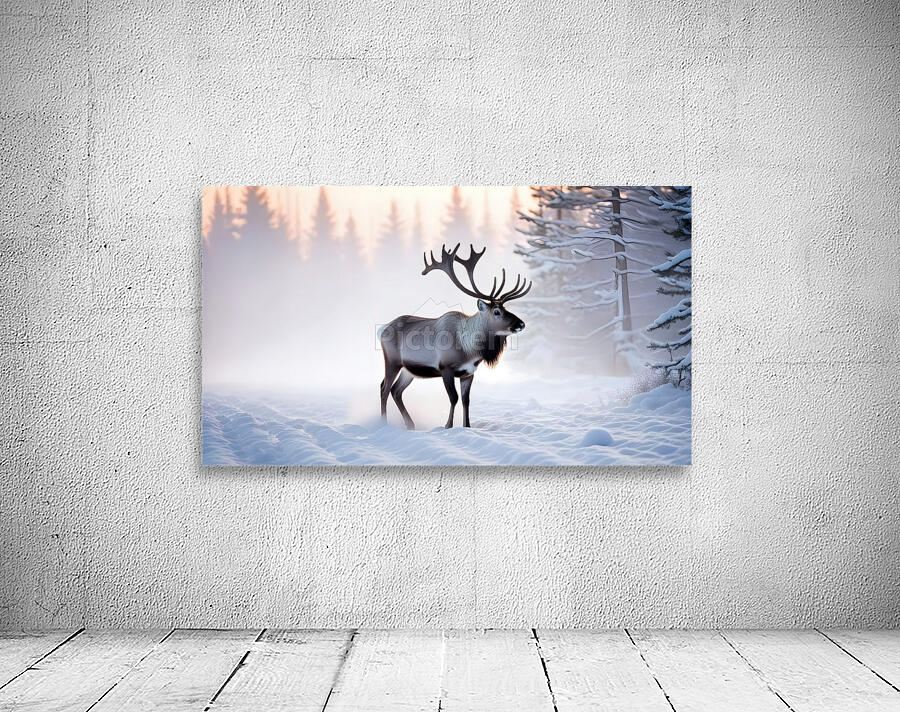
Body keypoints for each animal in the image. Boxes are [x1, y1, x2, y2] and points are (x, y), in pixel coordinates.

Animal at [379, 243, 531, 430]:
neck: (469, 349)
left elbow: (466, 400)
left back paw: (411, 425)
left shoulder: (468, 372)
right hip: (392, 361)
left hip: (409, 369)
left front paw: (467, 427)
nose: (521, 324)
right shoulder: (446, 367)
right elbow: (454, 398)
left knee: (396, 390)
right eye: (497, 311)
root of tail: (383, 329)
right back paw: (382, 423)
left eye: (506, 309)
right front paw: (448, 426)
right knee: (384, 388)